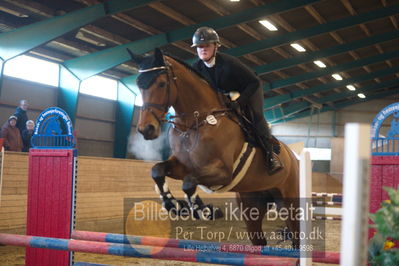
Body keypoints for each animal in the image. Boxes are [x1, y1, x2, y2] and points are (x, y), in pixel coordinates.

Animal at [128, 47, 300, 247]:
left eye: (162, 84)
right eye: (138, 85)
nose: (146, 129)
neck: (194, 123)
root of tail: (292, 156)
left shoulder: (223, 173)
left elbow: (189, 182)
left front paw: (203, 210)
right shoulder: (182, 165)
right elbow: (157, 170)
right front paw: (173, 204)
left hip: (290, 204)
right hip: (252, 205)